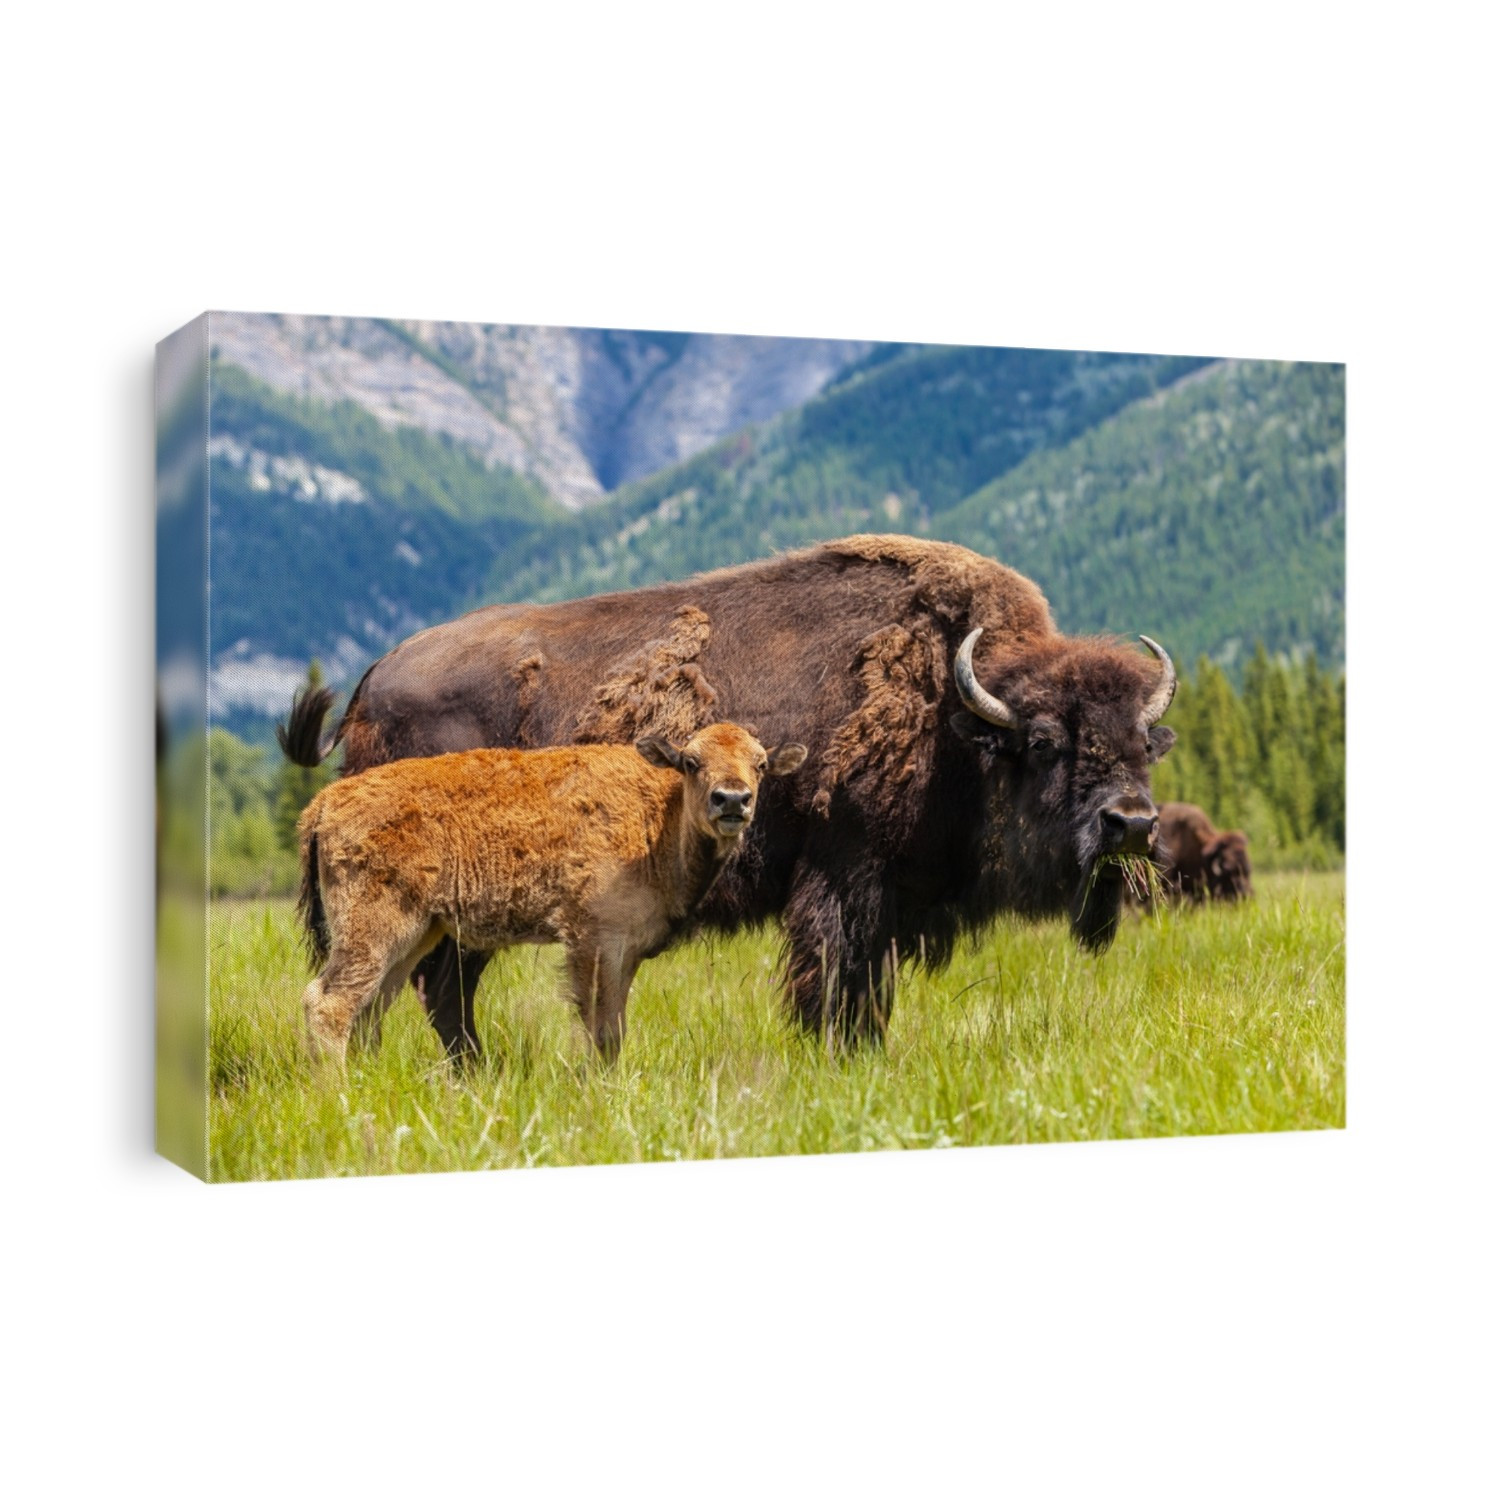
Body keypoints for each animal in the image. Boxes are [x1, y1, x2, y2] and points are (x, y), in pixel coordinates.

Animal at [296, 722, 807, 1066]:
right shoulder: (594, 941)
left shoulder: (626, 950)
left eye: (761, 764)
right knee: (329, 1003)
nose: (732, 800)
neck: (658, 816)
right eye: (691, 762)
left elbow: (615, 1025)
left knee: (372, 1006)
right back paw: (338, 1093)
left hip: (415, 934)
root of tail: (324, 802)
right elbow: (601, 1027)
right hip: (374, 930)